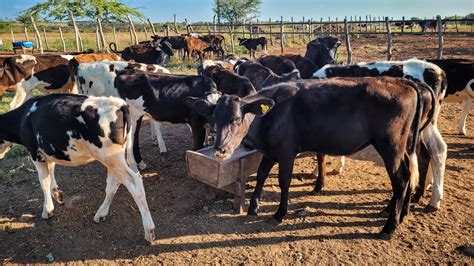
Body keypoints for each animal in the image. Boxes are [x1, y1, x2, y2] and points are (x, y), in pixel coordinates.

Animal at [0, 93, 156, 243]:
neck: (23, 117)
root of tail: (119, 103)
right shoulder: (50, 151)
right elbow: (51, 171)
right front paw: (57, 194)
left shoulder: (36, 154)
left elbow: (44, 182)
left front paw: (48, 210)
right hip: (114, 157)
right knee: (114, 183)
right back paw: (101, 213)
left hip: (111, 156)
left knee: (134, 183)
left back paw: (149, 231)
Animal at [189, 76, 434, 238]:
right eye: (214, 117)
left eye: (237, 119)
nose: (220, 149)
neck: (271, 116)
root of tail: (405, 83)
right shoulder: (269, 152)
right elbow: (260, 176)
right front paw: (253, 207)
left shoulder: (286, 152)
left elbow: (283, 182)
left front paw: (279, 213)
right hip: (402, 146)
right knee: (407, 174)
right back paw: (397, 213)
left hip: (390, 146)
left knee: (401, 179)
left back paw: (389, 227)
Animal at [312, 58, 446, 212]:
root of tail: (439, 72)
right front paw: (336, 167)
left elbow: (321, 154)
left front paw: (318, 181)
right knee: (426, 154)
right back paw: (419, 194)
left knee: (436, 151)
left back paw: (432, 200)